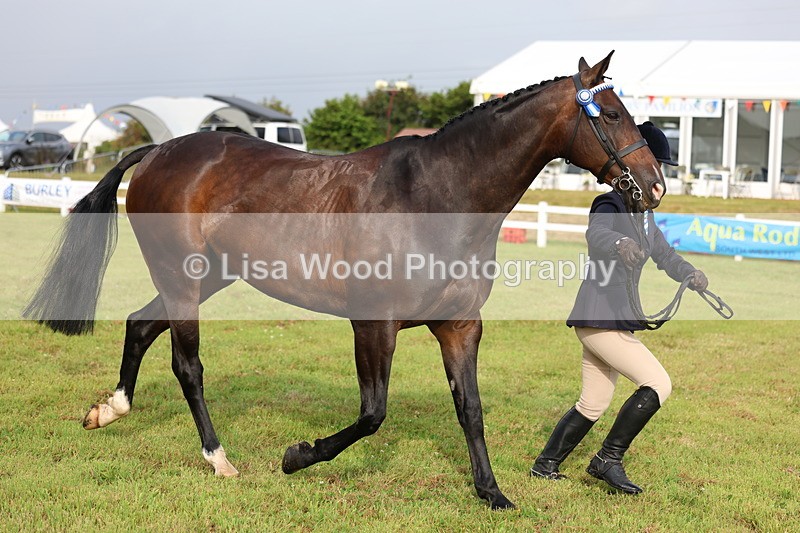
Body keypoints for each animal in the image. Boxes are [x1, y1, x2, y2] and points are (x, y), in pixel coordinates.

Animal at [23, 52, 665, 510]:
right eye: (611, 115)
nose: (654, 186)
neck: (434, 195)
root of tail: (160, 150)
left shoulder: (460, 326)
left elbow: (471, 409)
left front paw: (492, 494)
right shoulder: (373, 325)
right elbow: (372, 414)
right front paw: (297, 455)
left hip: (211, 277)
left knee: (140, 324)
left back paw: (110, 409)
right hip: (185, 280)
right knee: (187, 364)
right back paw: (218, 457)